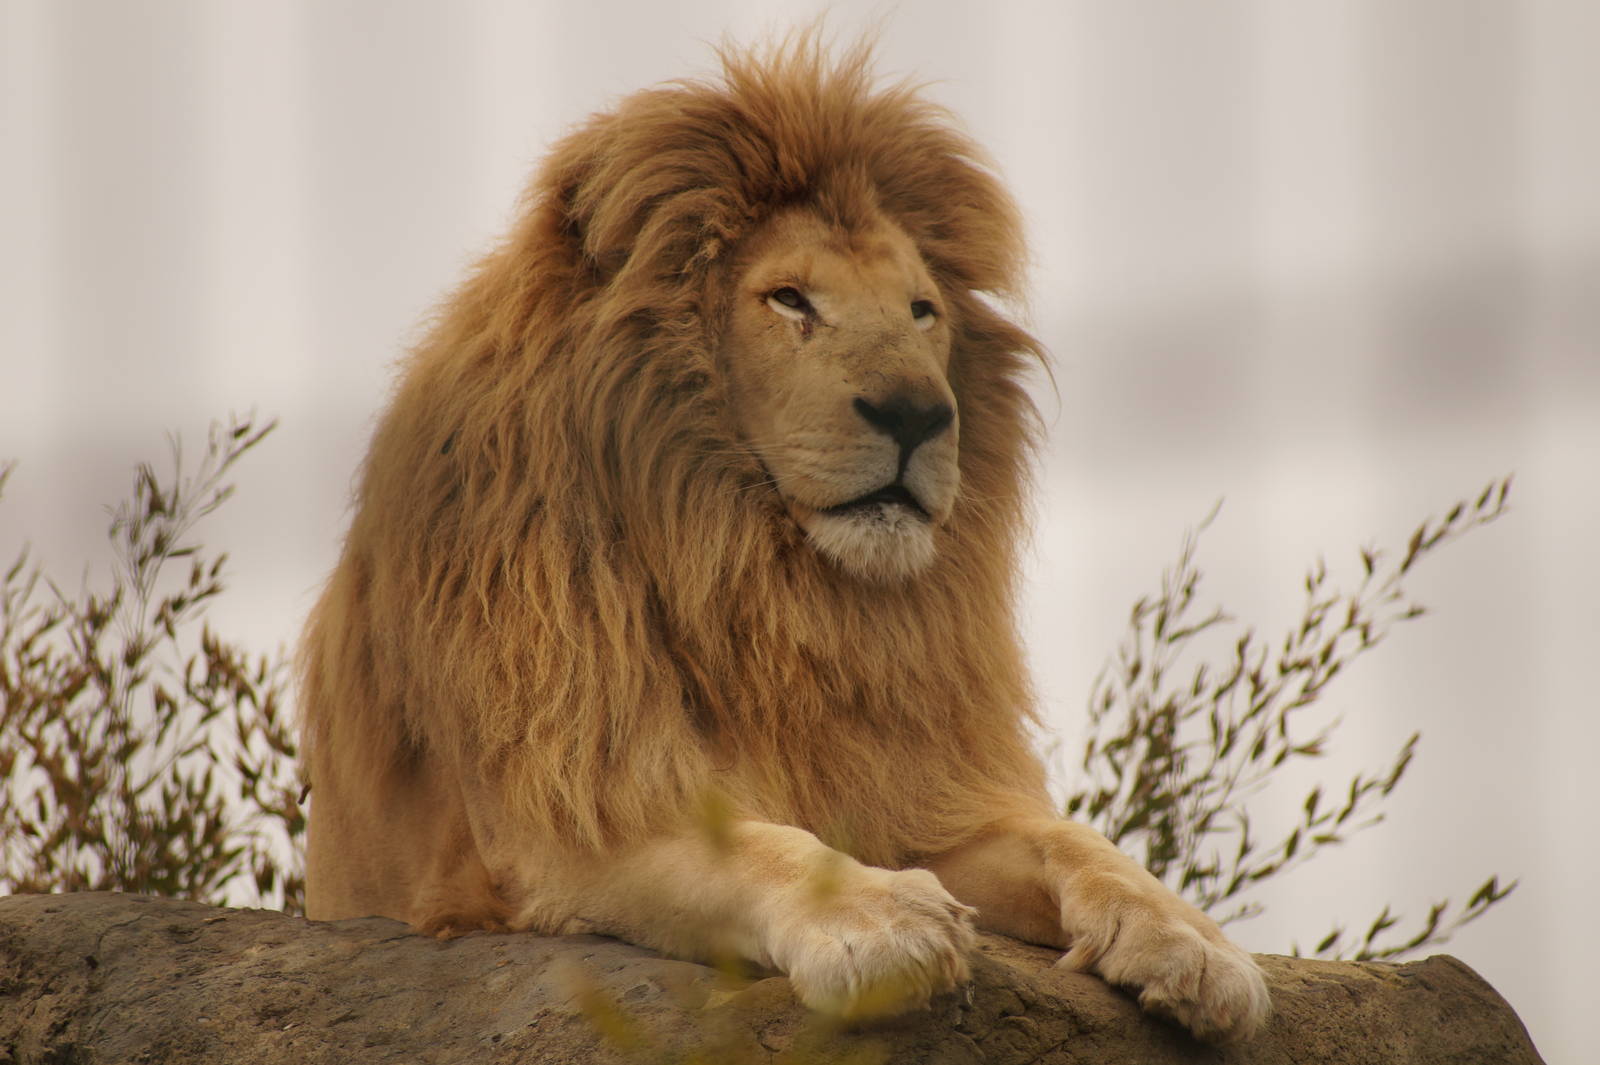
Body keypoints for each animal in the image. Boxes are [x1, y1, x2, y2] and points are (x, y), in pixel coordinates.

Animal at [298, 39, 1271, 1043]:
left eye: (921, 310)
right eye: (790, 299)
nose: (919, 413)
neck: (760, 580)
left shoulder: (906, 789)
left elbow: (1071, 839)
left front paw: (1194, 944)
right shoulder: (558, 814)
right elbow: (749, 844)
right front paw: (882, 920)